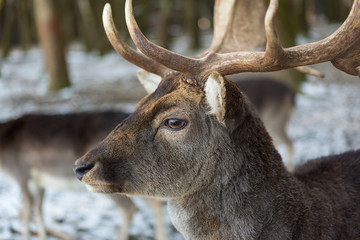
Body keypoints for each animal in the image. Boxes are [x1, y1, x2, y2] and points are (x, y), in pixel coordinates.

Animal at [0, 111, 166, 240]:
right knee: (155, 202)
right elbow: (38, 208)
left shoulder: (21, 174)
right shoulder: (39, 181)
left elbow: (26, 211)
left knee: (130, 208)